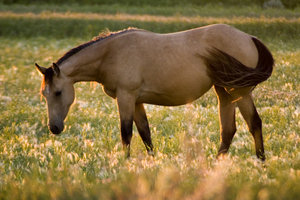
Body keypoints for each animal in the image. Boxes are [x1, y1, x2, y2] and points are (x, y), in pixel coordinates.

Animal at [35, 23, 274, 161]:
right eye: (44, 94)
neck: (111, 53)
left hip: (238, 90)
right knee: (230, 129)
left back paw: (259, 162)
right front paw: (151, 162)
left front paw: (125, 164)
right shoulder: (136, 101)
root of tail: (249, 37)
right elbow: (145, 132)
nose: (54, 128)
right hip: (224, 91)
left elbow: (126, 133)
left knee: (253, 123)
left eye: (58, 92)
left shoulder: (126, 97)